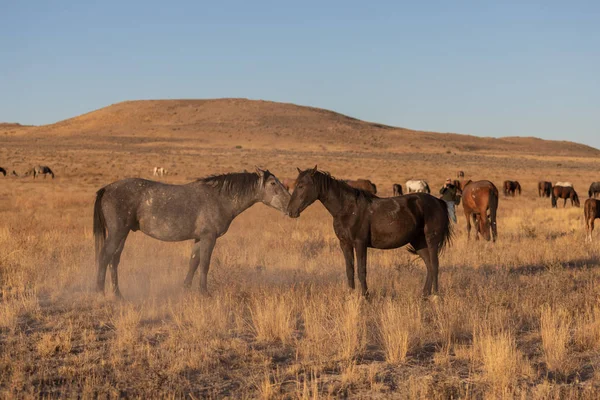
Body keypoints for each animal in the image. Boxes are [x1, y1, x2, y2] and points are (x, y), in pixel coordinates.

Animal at [94, 167, 290, 298]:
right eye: (273, 183)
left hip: (123, 234)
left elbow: (193, 263)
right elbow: (204, 265)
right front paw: (204, 293)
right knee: (104, 257)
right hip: (117, 233)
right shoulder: (209, 238)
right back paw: (100, 292)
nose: (291, 206)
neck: (219, 198)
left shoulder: (198, 238)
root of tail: (107, 188)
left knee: (114, 260)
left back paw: (118, 294)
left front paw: (186, 289)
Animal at [288, 166, 452, 296]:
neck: (348, 209)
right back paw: (425, 294)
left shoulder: (360, 244)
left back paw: (436, 295)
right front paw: (351, 295)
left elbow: (361, 270)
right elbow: (349, 270)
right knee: (429, 266)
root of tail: (438, 202)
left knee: (435, 265)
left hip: (431, 241)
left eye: (301, 186)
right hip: (419, 242)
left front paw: (365, 296)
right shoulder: (345, 244)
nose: (290, 211)